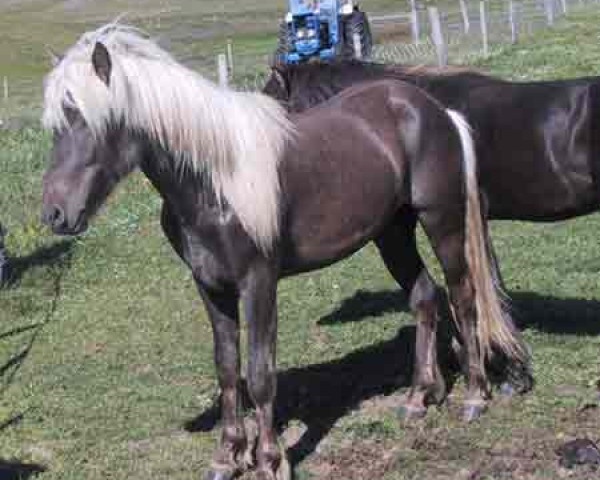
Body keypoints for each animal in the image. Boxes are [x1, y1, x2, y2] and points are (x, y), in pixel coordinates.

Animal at [42, 25, 528, 480]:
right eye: (55, 127)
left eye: (90, 119)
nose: (55, 213)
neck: (213, 183)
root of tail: (436, 110)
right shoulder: (211, 287)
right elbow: (227, 370)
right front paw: (227, 456)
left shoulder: (258, 283)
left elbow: (259, 374)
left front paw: (269, 461)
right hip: (392, 233)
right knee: (425, 297)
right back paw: (418, 398)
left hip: (441, 221)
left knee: (462, 296)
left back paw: (474, 397)